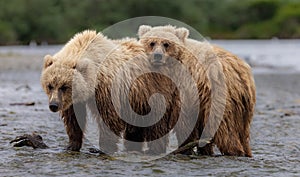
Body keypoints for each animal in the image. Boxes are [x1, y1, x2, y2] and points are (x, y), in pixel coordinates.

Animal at [41, 29, 179, 154]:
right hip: (137, 99)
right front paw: (71, 145)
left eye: (64, 86)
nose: (53, 105)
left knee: (157, 121)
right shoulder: (74, 100)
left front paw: (103, 148)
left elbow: (108, 117)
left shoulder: (106, 89)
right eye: (50, 85)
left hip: (154, 90)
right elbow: (73, 118)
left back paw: (154, 149)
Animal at [138, 24, 255, 156]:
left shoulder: (183, 86)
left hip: (218, 95)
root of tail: (238, 70)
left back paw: (233, 150)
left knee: (222, 125)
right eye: (152, 43)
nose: (158, 56)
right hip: (243, 106)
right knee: (242, 130)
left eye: (166, 44)